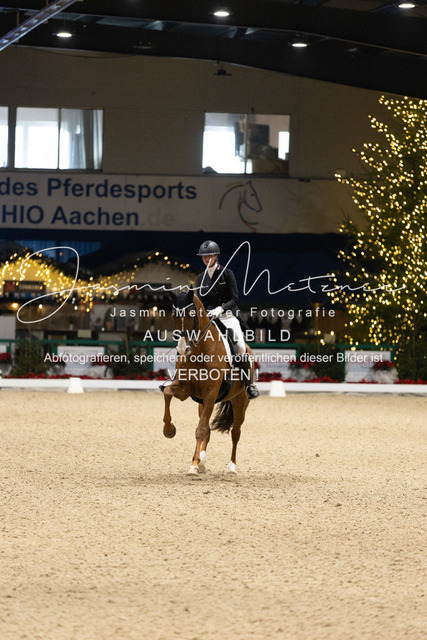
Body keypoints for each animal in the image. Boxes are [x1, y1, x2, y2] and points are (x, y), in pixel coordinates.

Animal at [162, 288, 254, 476]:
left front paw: (193, 466)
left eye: (192, 314)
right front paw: (169, 430)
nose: (183, 349)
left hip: (240, 401)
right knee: (208, 430)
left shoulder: (211, 394)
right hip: (201, 403)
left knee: (235, 432)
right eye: (174, 315)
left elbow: (200, 430)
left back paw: (232, 467)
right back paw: (201, 461)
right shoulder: (185, 390)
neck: (199, 349)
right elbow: (167, 393)